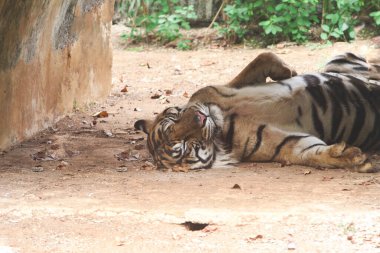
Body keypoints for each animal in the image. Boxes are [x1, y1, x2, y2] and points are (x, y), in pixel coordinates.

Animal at [134, 52, 380, 173]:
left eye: (175, 117)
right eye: (185, 145)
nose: (200, 118)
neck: (223, 121)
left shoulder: (227, 87)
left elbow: (262, 57)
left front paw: (288, 71)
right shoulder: (289, 143)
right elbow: (312, 153)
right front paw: (349, 157)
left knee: (369, 67)